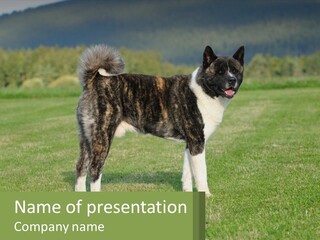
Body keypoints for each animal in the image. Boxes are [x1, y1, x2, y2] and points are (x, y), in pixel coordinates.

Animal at [75, 43, 245, 197]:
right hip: (102, 137)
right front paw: (206, 195)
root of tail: (94, 80)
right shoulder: (197, 142)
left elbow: (187, 173)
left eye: (235, 71)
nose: (232, 80)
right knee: (94, 170)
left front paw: (188, 193)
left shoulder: (190, 144)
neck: (203, 89)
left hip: (87, 139)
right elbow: (201, 172)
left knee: (81, 168)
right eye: (220, 72)